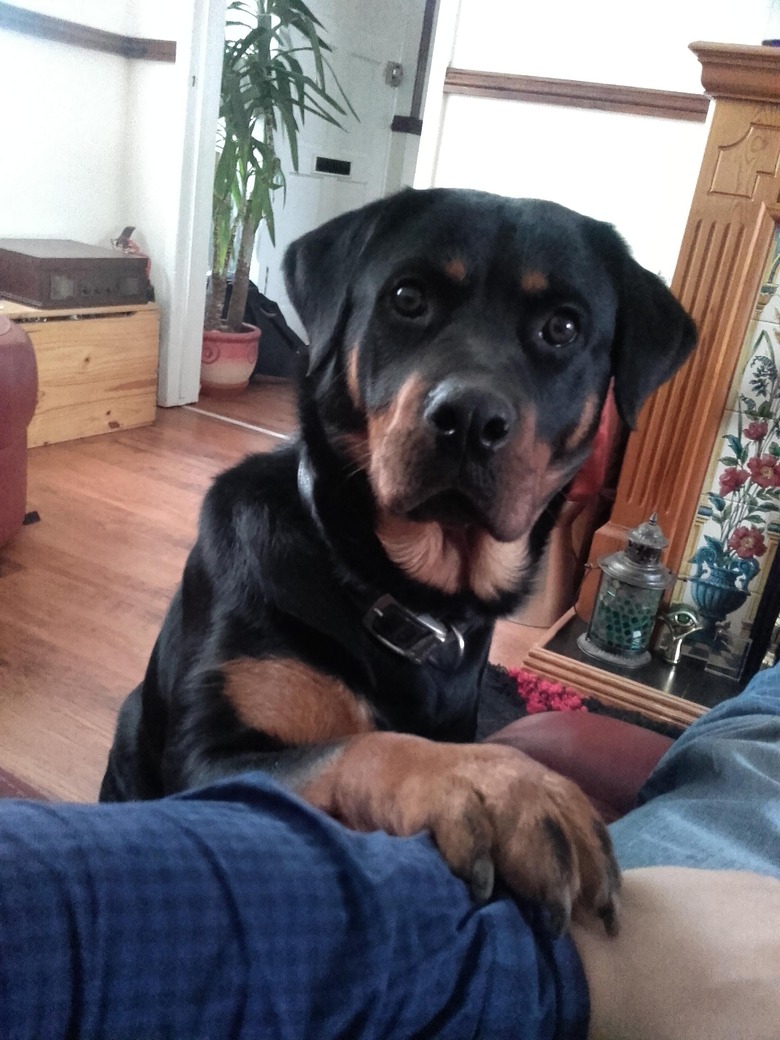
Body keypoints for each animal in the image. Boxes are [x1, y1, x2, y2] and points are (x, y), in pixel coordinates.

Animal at [102, 189, 694, 935]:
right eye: (407, 297)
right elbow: (363, 746)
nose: (469, 416)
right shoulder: (206, 759)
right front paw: (502, 790)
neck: (402, 593)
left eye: (562, 327)